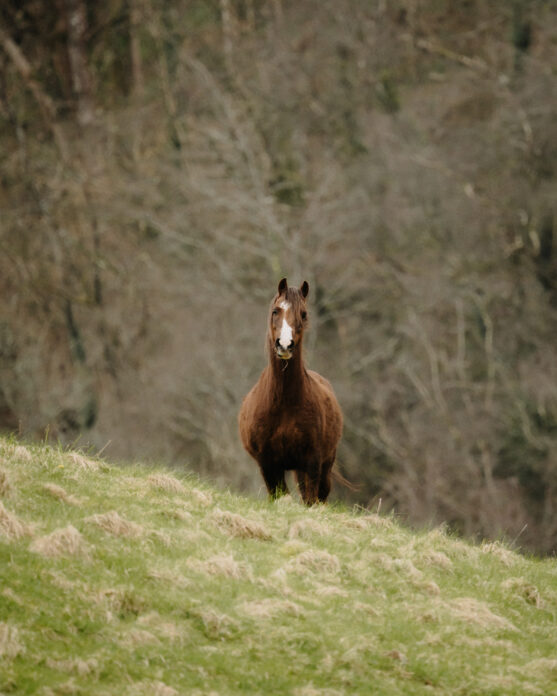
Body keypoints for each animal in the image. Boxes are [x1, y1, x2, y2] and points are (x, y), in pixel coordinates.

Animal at [238, 277, 343, 505]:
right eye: (275, 311)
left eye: (303, 314)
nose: (285, 345)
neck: (284, 403)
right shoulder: (268, 464)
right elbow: (278, 497)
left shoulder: (311, 462)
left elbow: (310, 499)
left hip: (324, 465)